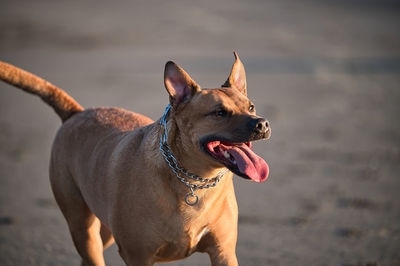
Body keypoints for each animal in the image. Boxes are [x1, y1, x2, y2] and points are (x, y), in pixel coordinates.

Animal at [0, 52, 272, 266]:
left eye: (251, 107)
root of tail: (76, 113)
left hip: (105, 231)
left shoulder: (223, 252)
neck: (193, 179)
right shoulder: (138, 256)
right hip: (82, 226)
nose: (262, 123)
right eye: (219, 113)